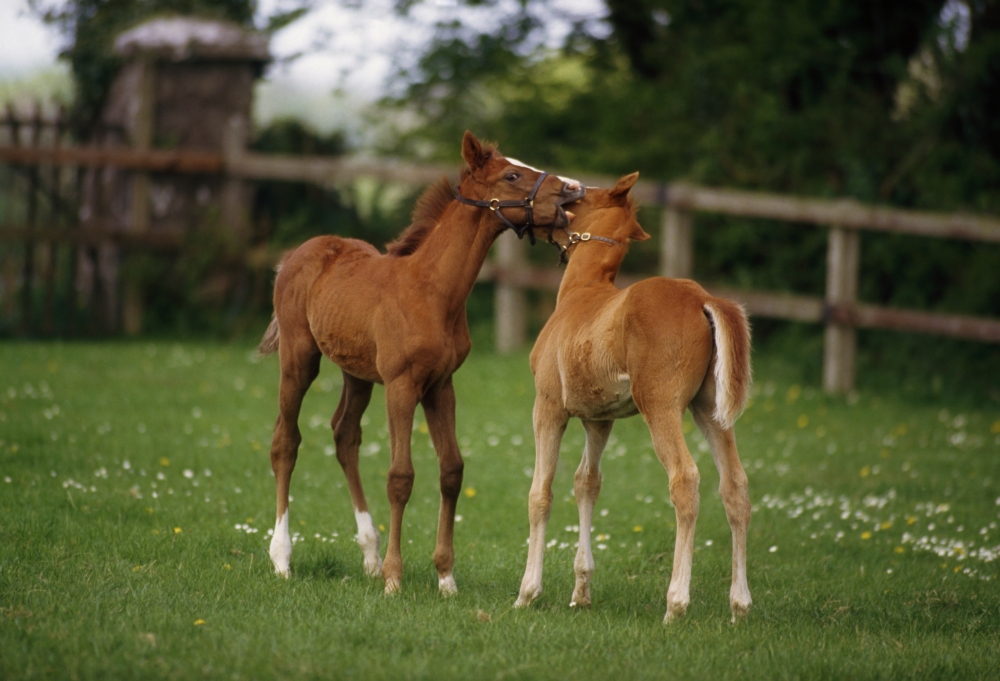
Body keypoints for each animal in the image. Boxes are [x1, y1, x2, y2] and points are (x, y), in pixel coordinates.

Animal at [258, 132, 584, 594]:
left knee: (345, 435)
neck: (432, 291)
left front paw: (445, 577)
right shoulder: (401, 384)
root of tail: (297, 254)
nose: (573, 189)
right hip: (300, 357)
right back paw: (283, 559)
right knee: (285, 440)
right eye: (512, 175)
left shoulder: (440, 385)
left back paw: (370, 555)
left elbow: (451, 470)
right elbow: (401, 476)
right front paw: (395, 579)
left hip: (357, 372)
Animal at [513, 173, 753, 623]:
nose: (557, 197)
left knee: (685, 480)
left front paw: (528, 592)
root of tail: (702, 298)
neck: (581, 293)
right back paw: (740, 605)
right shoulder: (598, 418)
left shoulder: (547, 407)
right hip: (709, 410)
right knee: (735, 486)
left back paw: (676, 603)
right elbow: (586, 483)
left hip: (661, 406)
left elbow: (541, 493)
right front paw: (581, 591)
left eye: (578, 193)